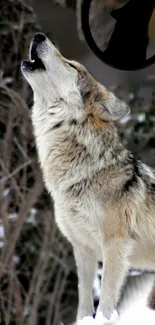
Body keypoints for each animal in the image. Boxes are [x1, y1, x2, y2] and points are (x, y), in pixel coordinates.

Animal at [21, 32, 155, 322]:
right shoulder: (82, 246)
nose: (39, 35)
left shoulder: (115, 245)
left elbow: (105, 300)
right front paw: (83, 321)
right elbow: (84, 298)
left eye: (71, 65)